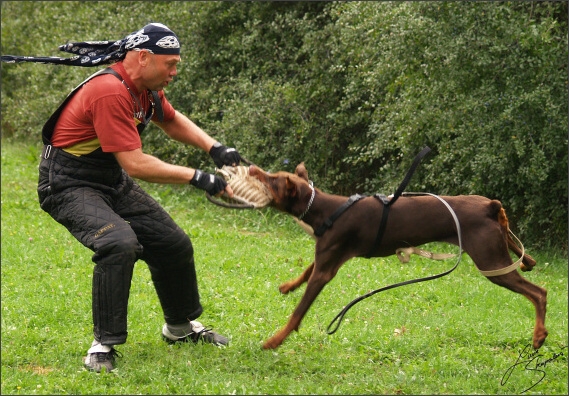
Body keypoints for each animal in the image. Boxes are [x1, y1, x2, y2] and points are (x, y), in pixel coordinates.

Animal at [247, 163, 544, 350]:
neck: (324, 208)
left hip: (489, 260)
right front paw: (288, 286)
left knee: (538, 293)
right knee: (523, 257)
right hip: (497, 246)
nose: (251, 168)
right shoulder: (327, 255)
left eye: (272, 181)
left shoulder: (326, 269)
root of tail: (489, 205)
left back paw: (539, 335)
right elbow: (306, 270)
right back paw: (528, 261)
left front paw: (274, 341)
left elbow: (298, 312)